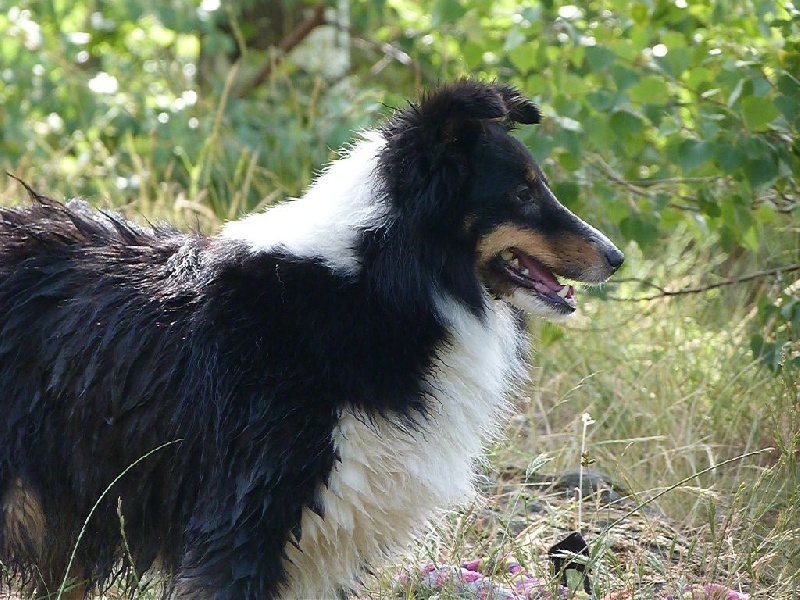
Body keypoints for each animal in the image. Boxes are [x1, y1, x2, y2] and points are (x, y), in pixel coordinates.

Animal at [0, 81, 620, 600]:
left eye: (538, 186)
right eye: (522, 192)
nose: (615, 258)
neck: (377, 286)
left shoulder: (325, 541)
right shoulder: (245, 516)